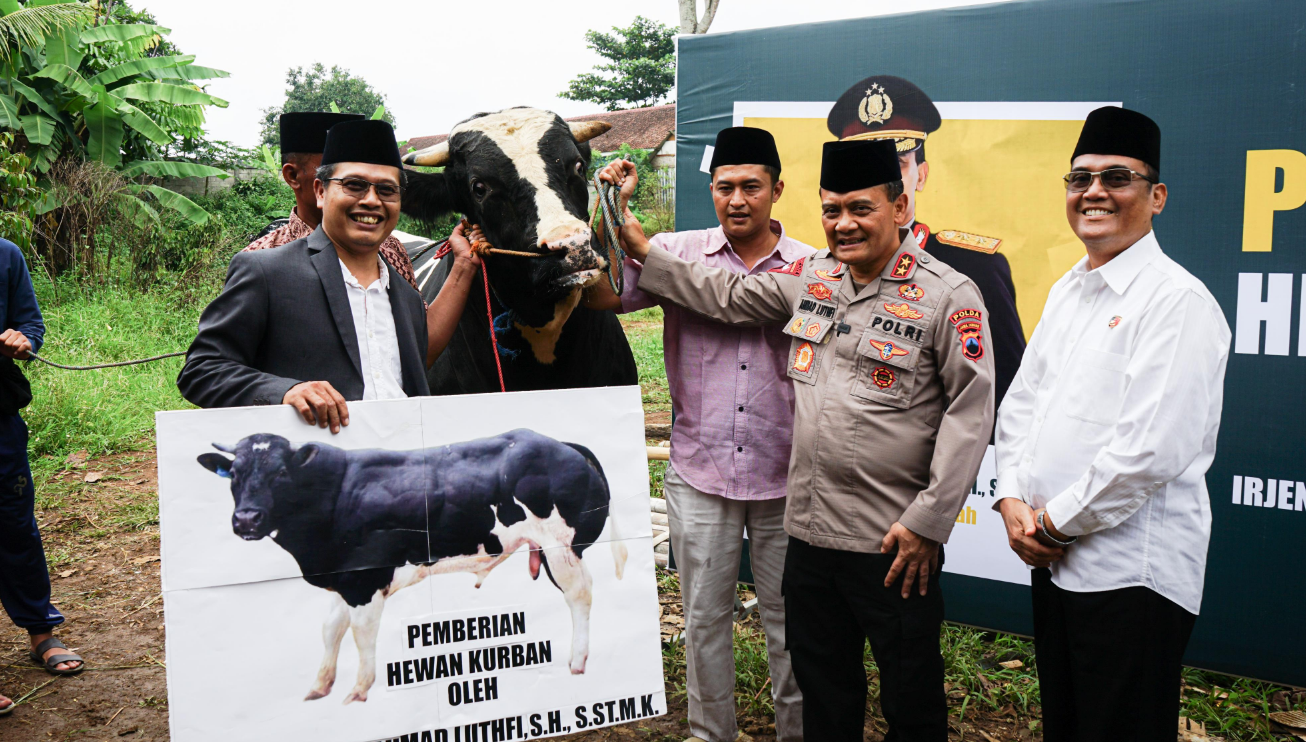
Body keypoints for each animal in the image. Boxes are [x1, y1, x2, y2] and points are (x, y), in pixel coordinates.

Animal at [197, 428, 626, 700]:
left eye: (281, 472)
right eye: (233, 474)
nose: (247, 519)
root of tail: (560, 444)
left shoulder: (366, 581)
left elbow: (361, 635)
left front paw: (358, 691)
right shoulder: (344, 579)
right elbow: (331, 629)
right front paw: (320, 686)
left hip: (562, 547)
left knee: (580, 595)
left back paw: (577, 661)